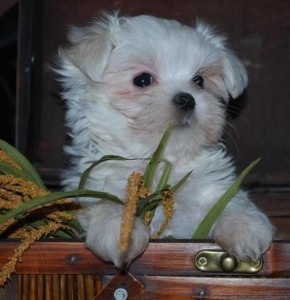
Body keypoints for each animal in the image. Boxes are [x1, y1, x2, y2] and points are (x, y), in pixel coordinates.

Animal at [57, 12, 276, 266]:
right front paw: (121, 233)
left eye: (199, 81)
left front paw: (245, 228)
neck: (160, 159)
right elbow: (105, 204)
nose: (187, 99)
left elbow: (228, 200)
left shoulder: (209, 186)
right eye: (142, 80)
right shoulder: (92, 185)